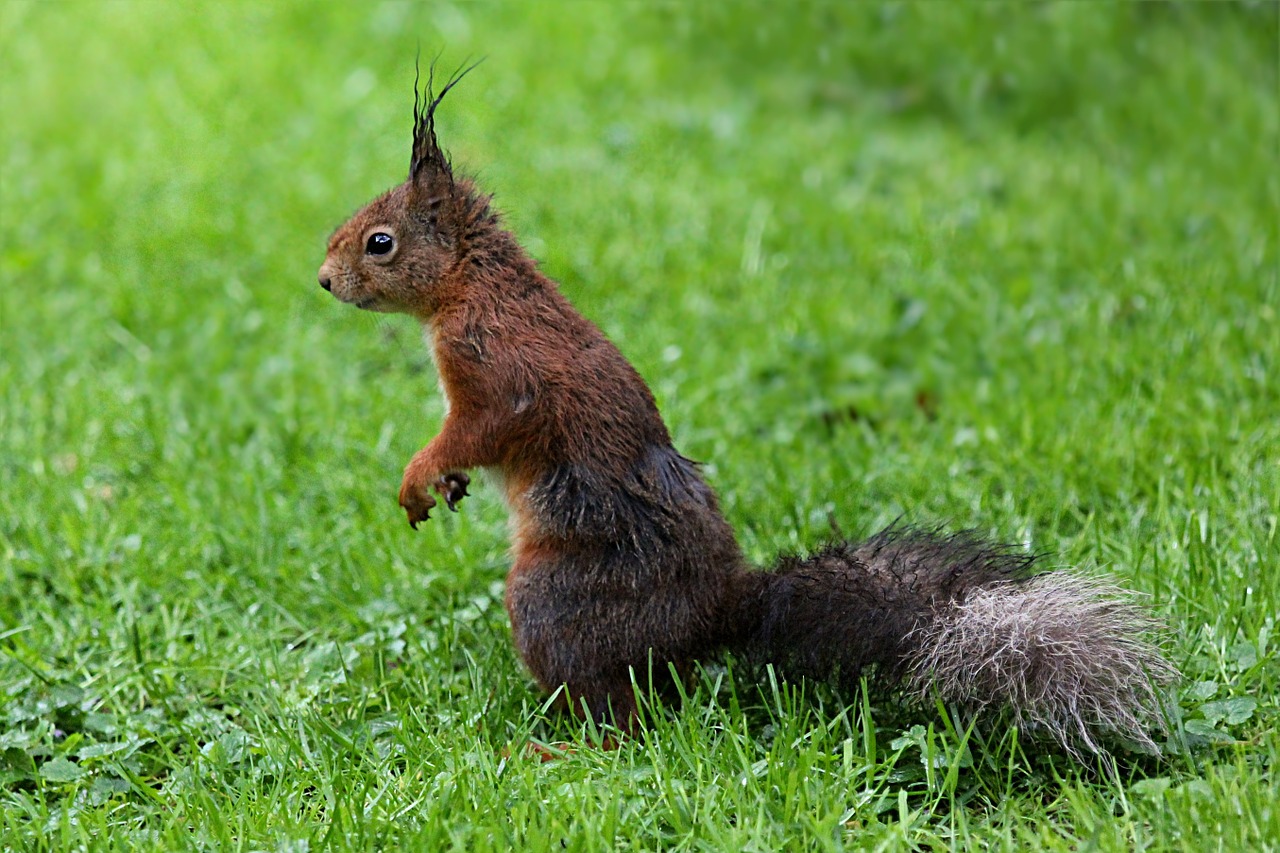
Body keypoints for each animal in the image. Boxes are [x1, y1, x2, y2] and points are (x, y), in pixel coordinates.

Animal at [314, 68, 1172, 758]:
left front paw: (420, 475)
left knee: (623, 715)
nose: (323, 282)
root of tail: (710, 613)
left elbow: (482, 425)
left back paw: (561, 748)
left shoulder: (494, 364)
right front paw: (448, 487)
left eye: (380, 242)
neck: (470, 281)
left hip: (553, 599)